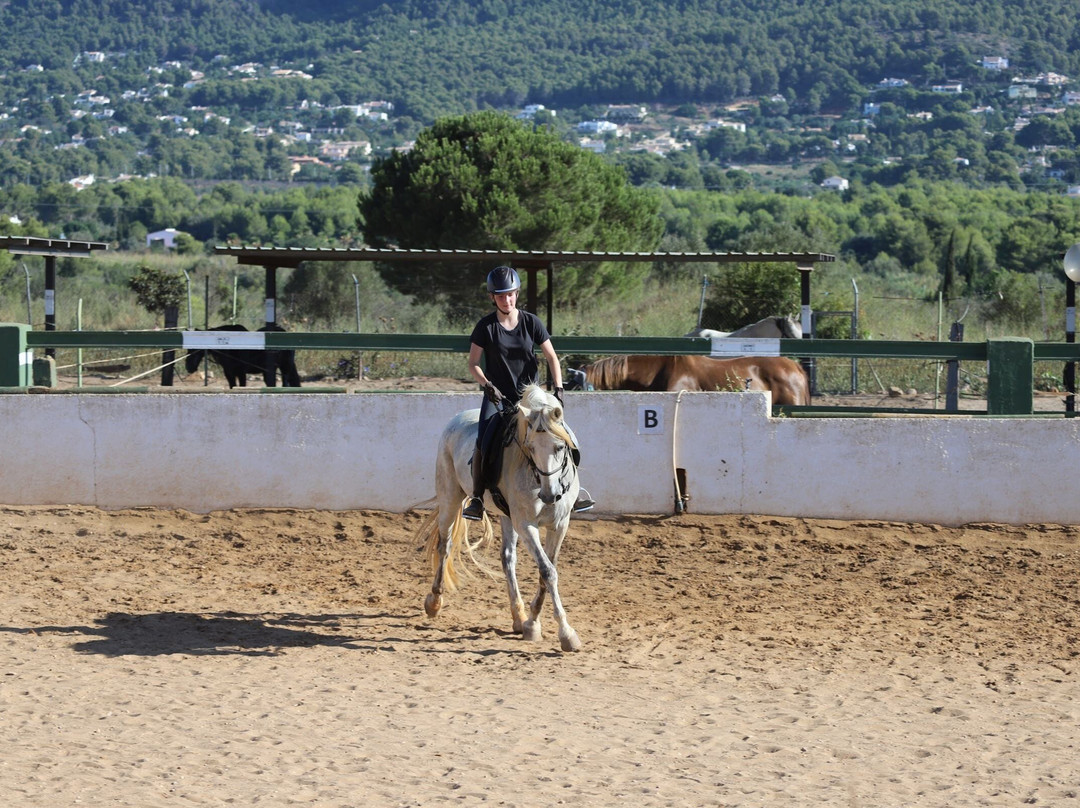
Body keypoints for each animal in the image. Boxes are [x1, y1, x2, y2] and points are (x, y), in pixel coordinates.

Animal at [414, 382, 583, 652]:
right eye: (531, 448)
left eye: (559, 447)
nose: (550, 495)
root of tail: (458, 418)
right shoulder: (526, 524)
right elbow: (547, 571)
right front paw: (565, 633)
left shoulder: (560, 524)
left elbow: (547, 570)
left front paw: (532, 623)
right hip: (450, 496)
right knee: (445, 545)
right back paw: (434, 602)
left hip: (506, 516)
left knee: (507, 559)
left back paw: (518, 617)